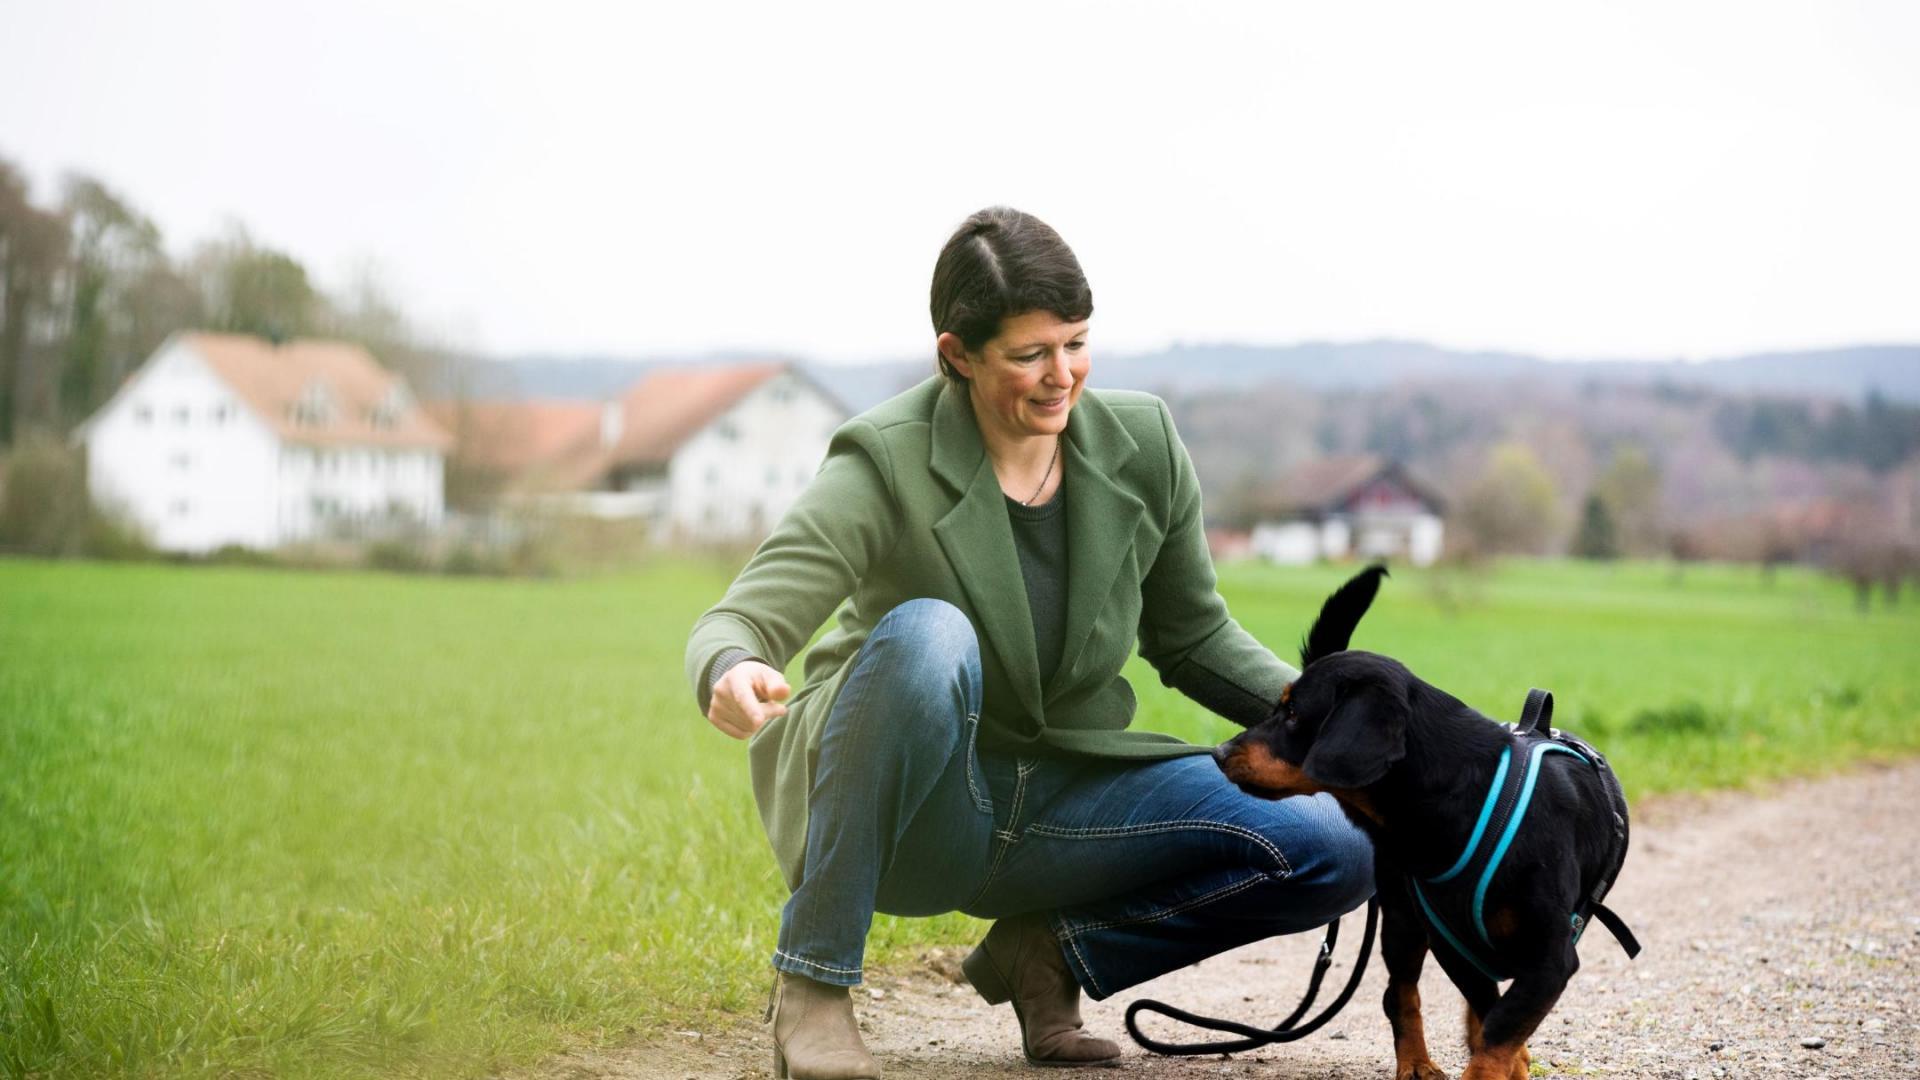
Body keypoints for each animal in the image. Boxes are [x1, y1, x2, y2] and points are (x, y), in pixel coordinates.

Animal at [1221, 564, 1643, 1076]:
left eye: (1294, 713)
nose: (1220, 752)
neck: (1457, 801)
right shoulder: (1452, 943)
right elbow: (1490, 1014)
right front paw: (1505, 1062)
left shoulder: (1550, 957)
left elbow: (1501, 1024)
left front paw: (1501, 1063)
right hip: (1402, 917)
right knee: (1400, 993)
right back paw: (1416, 1064)